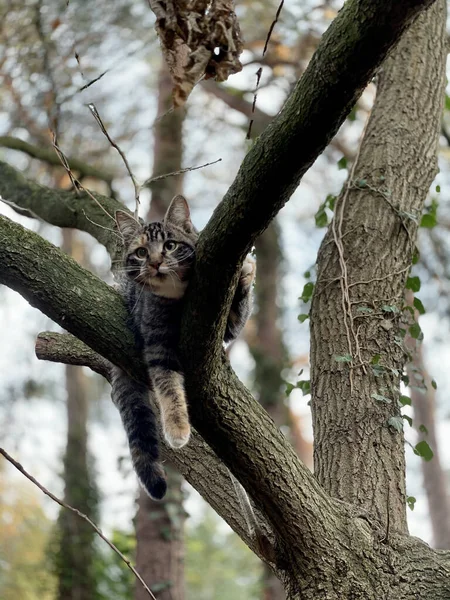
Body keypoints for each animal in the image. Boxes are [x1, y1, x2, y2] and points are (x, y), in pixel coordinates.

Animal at [111, 195, 255, 500]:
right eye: (141, 252)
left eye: (170, 245)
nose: (155, 262)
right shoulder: (157, 341)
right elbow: (168, 386)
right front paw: (177, 427)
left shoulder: (226, 325)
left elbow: (237, 315)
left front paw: (246, 274)